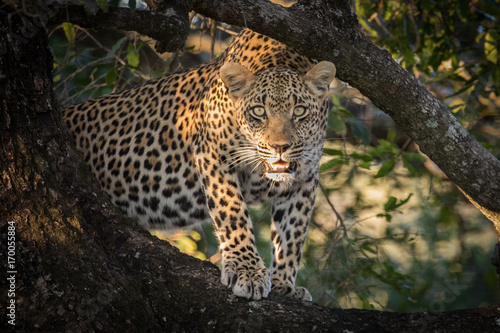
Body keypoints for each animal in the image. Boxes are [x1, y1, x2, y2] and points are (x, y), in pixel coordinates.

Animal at [63, 29, 336, 300]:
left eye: (299, 111)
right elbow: (232, 213)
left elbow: (292, 232)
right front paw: (246, 270)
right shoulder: (214, 156)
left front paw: (284, 285)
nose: (280, 147)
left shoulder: (305, 177)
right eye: (259, 111)